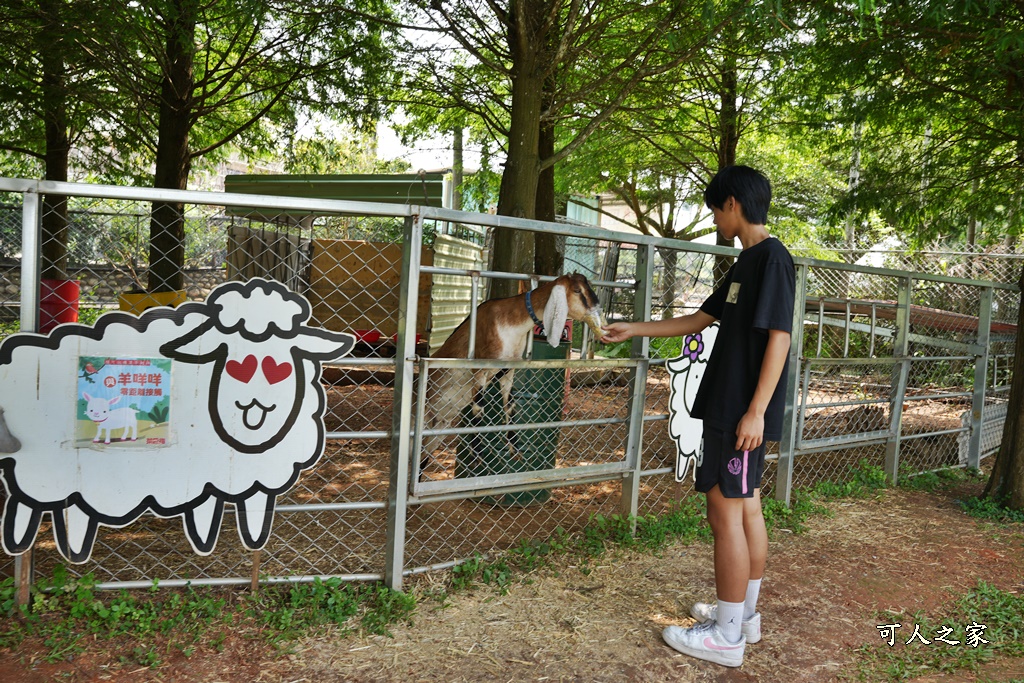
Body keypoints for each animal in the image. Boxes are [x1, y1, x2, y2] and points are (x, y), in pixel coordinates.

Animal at [423, 274, 606, 466]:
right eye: (577, 290)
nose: (598, 312)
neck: (511, 322)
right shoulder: (480, 369)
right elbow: (478, 408)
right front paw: (477, 453)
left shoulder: (508, 371)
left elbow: (510, 406)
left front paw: (515, 450)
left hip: (436, 432)